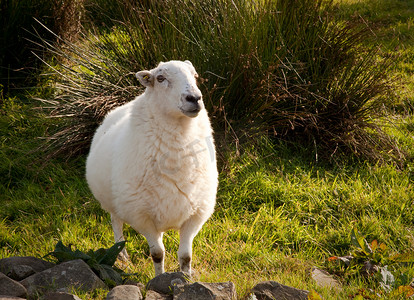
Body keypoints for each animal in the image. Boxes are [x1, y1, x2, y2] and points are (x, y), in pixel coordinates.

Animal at [85, 59, 218, 276]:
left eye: (195, 75)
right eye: (160, 78)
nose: (195, 98)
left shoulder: (195, 214)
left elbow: (185, 255)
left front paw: (186, 277)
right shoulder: (142, 216)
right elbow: (157, 254)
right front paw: (159, 278)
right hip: (115, 202)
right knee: (116, 222)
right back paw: (122, 255)